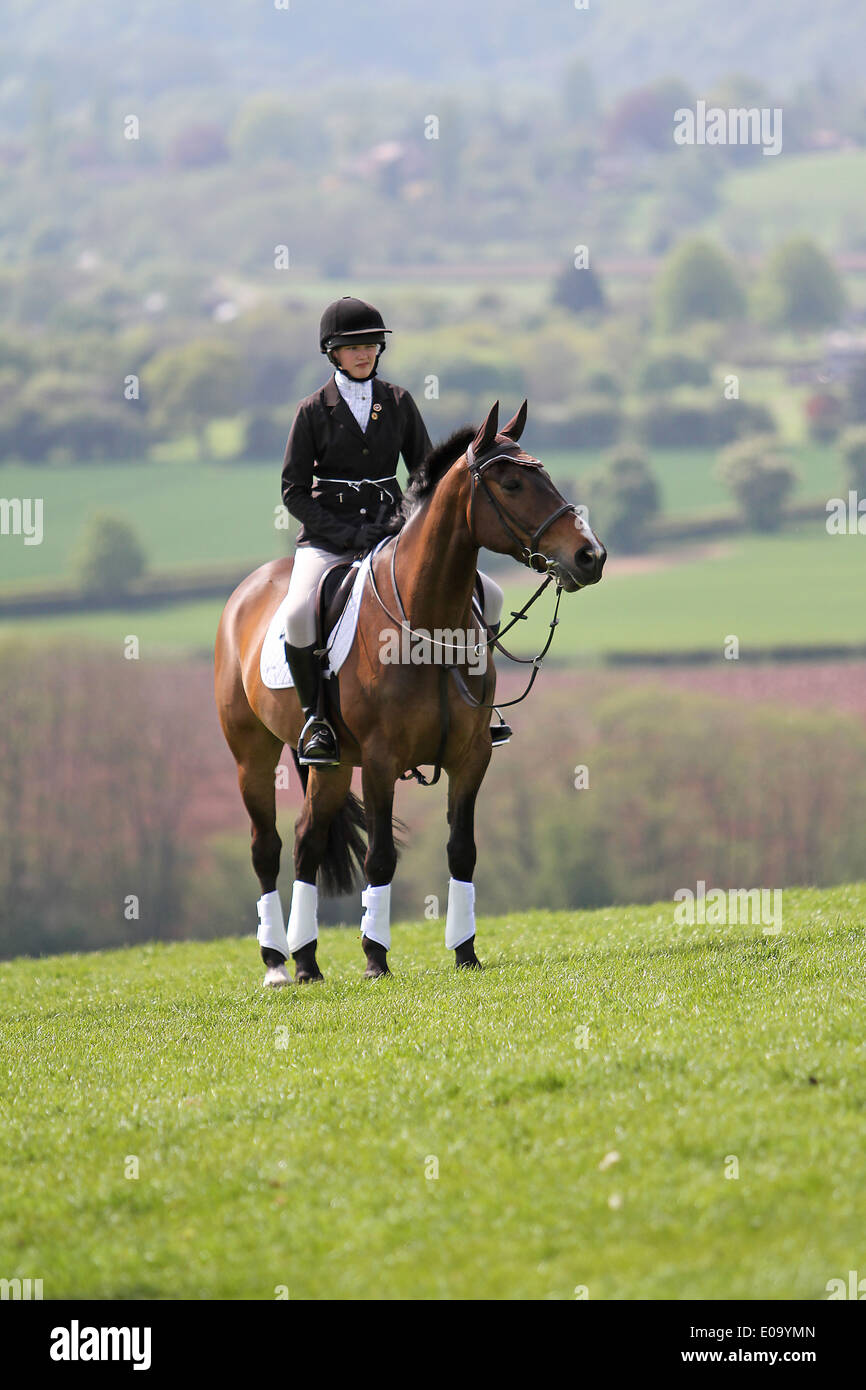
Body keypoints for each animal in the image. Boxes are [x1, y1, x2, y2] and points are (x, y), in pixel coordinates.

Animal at [214, 400, 606, 986]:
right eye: (512, 483)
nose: (591, 557)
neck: (428, 619)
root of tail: (246, 591)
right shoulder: (380, 760)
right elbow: (380, 858)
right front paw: (376, 958)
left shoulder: (472, 755)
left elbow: (462, 850)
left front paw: (465, 952)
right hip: (252, 755)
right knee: (267, 848)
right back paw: (277, 965)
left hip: (332, 767)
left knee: (308, 840)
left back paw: (308, 962)